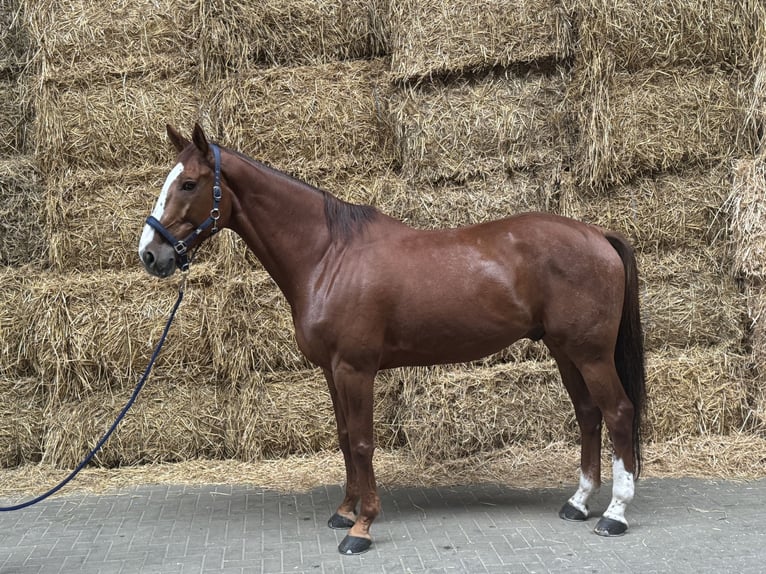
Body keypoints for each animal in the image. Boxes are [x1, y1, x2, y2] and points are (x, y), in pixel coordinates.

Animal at [140, 124, 648, 556]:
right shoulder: (333, 372)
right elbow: (346, 438)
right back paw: (578, 503)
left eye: (189, 184)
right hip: (565, 351)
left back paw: (615, 514)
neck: (329, 256)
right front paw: (345, 512)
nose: (150, 254)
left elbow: (364, 442)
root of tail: (597, 234)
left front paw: (362, 528)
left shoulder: (355, 369)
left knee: (618, 413)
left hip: (591, 354)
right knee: (588, 415)